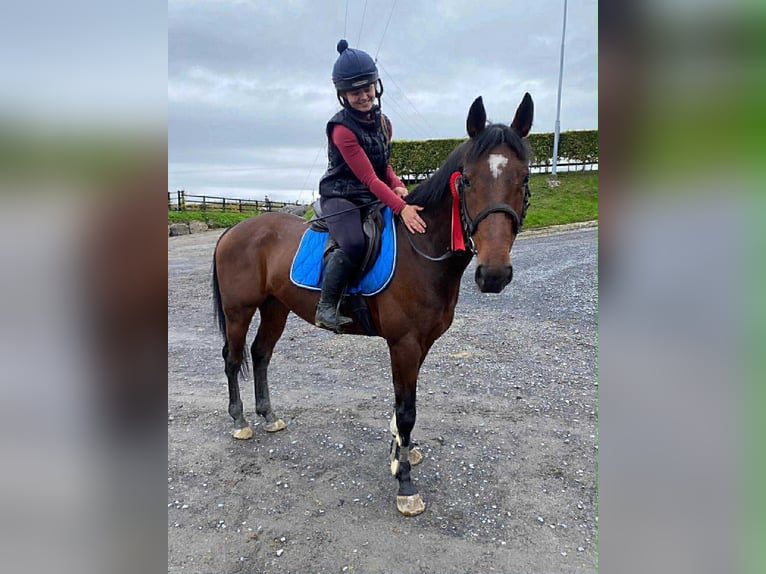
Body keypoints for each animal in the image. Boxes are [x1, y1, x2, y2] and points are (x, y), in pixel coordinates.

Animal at [212, 93, 534, 516]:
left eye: (523, 178)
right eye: (466, 180)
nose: (494, 275)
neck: (422, 250)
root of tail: (234, 229)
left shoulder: (421, 344)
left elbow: (403, 406)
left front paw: (401, 454)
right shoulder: (404, 344)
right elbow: (407, 409)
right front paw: (405, 484)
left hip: (275, 308)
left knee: (260, 354)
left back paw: (269, 416)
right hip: (239, 310)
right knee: (233, 360)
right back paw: (240, 422)